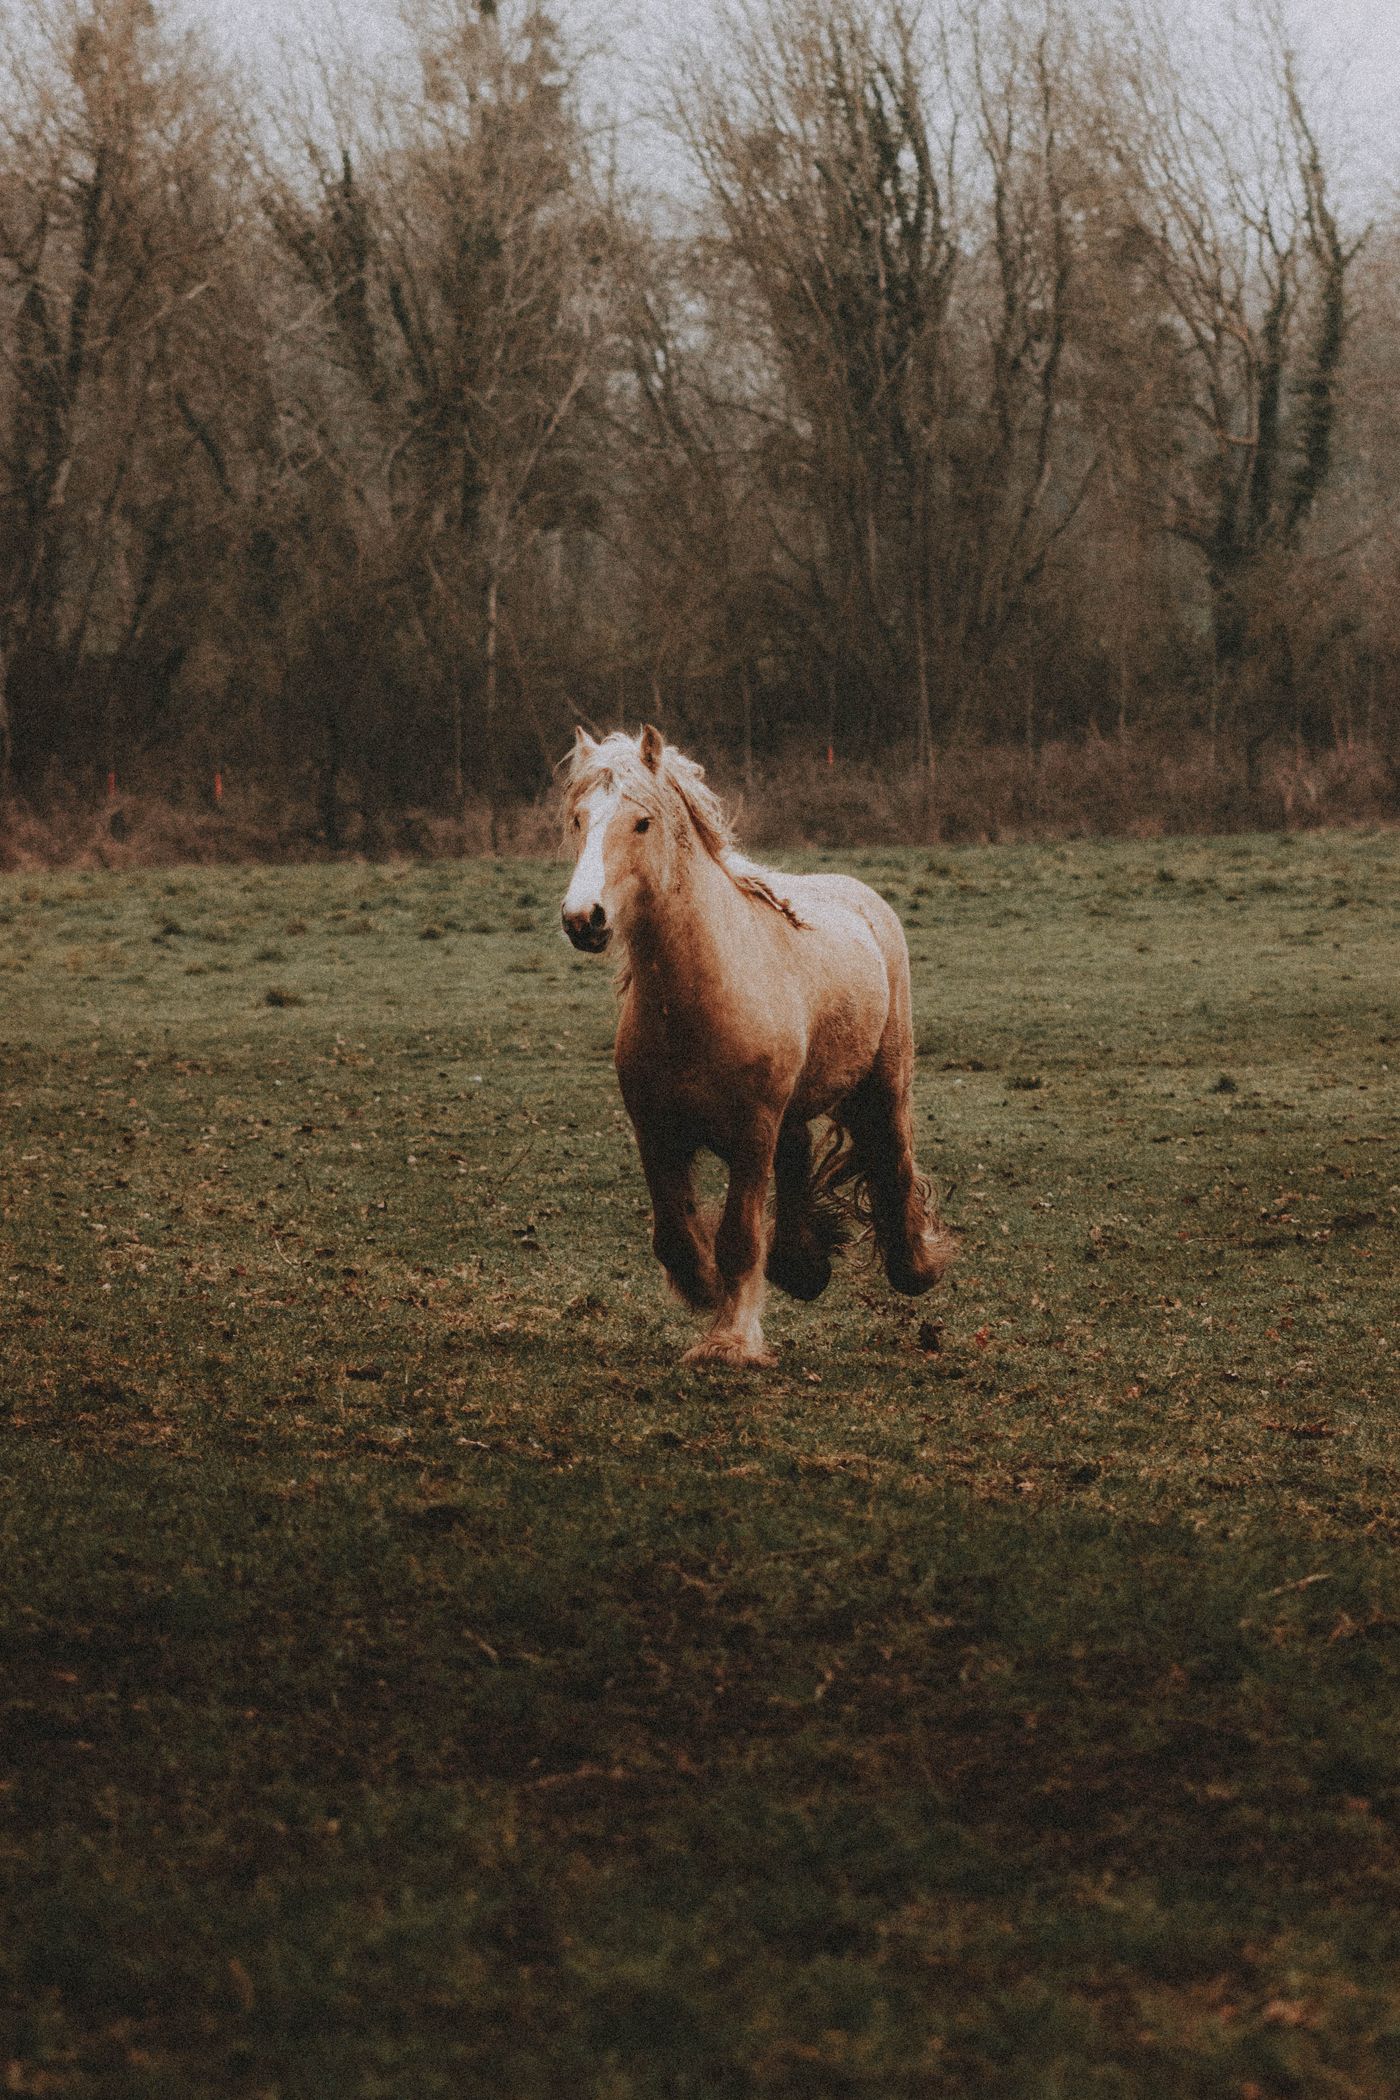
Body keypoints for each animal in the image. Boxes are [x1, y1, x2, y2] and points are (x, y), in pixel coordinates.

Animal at [560, 725, 955, 1366]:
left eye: (642, 822)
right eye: (578, 819)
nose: (582, 918)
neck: (698, 999)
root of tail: (861, 897)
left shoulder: (751, 1132)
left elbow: (739, 1237)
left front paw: (731, 1340)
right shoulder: (655, 1129)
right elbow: (673, 1232)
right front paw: (701, 1286)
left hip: (885, 1081)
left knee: (892, 1160)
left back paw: (913, 1267)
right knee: (797, 1157)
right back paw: (802, 1267)